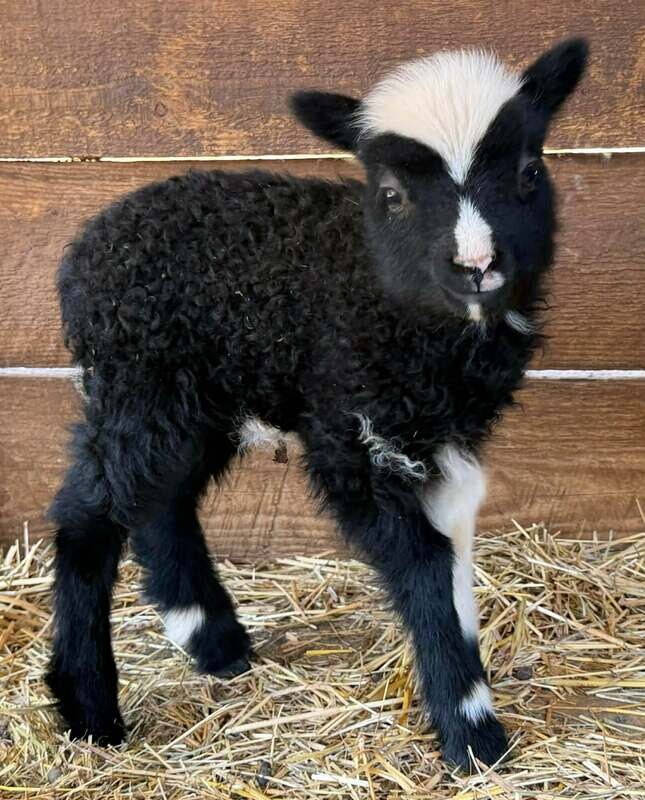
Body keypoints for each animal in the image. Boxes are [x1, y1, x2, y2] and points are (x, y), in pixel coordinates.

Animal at [46, 38, 588, 770]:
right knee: (89, 519)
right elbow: (424, 562)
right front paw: (471, 727)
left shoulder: (443, 435)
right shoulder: (351, 429)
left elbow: (455, 547)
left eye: (530, 172)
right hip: (138, 385)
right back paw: (88, 708)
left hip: (193, 399)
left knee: (162, 502)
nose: (476, 265)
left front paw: (468, 697)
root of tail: (86, 248)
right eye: (390, 193)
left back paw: (211, 641)